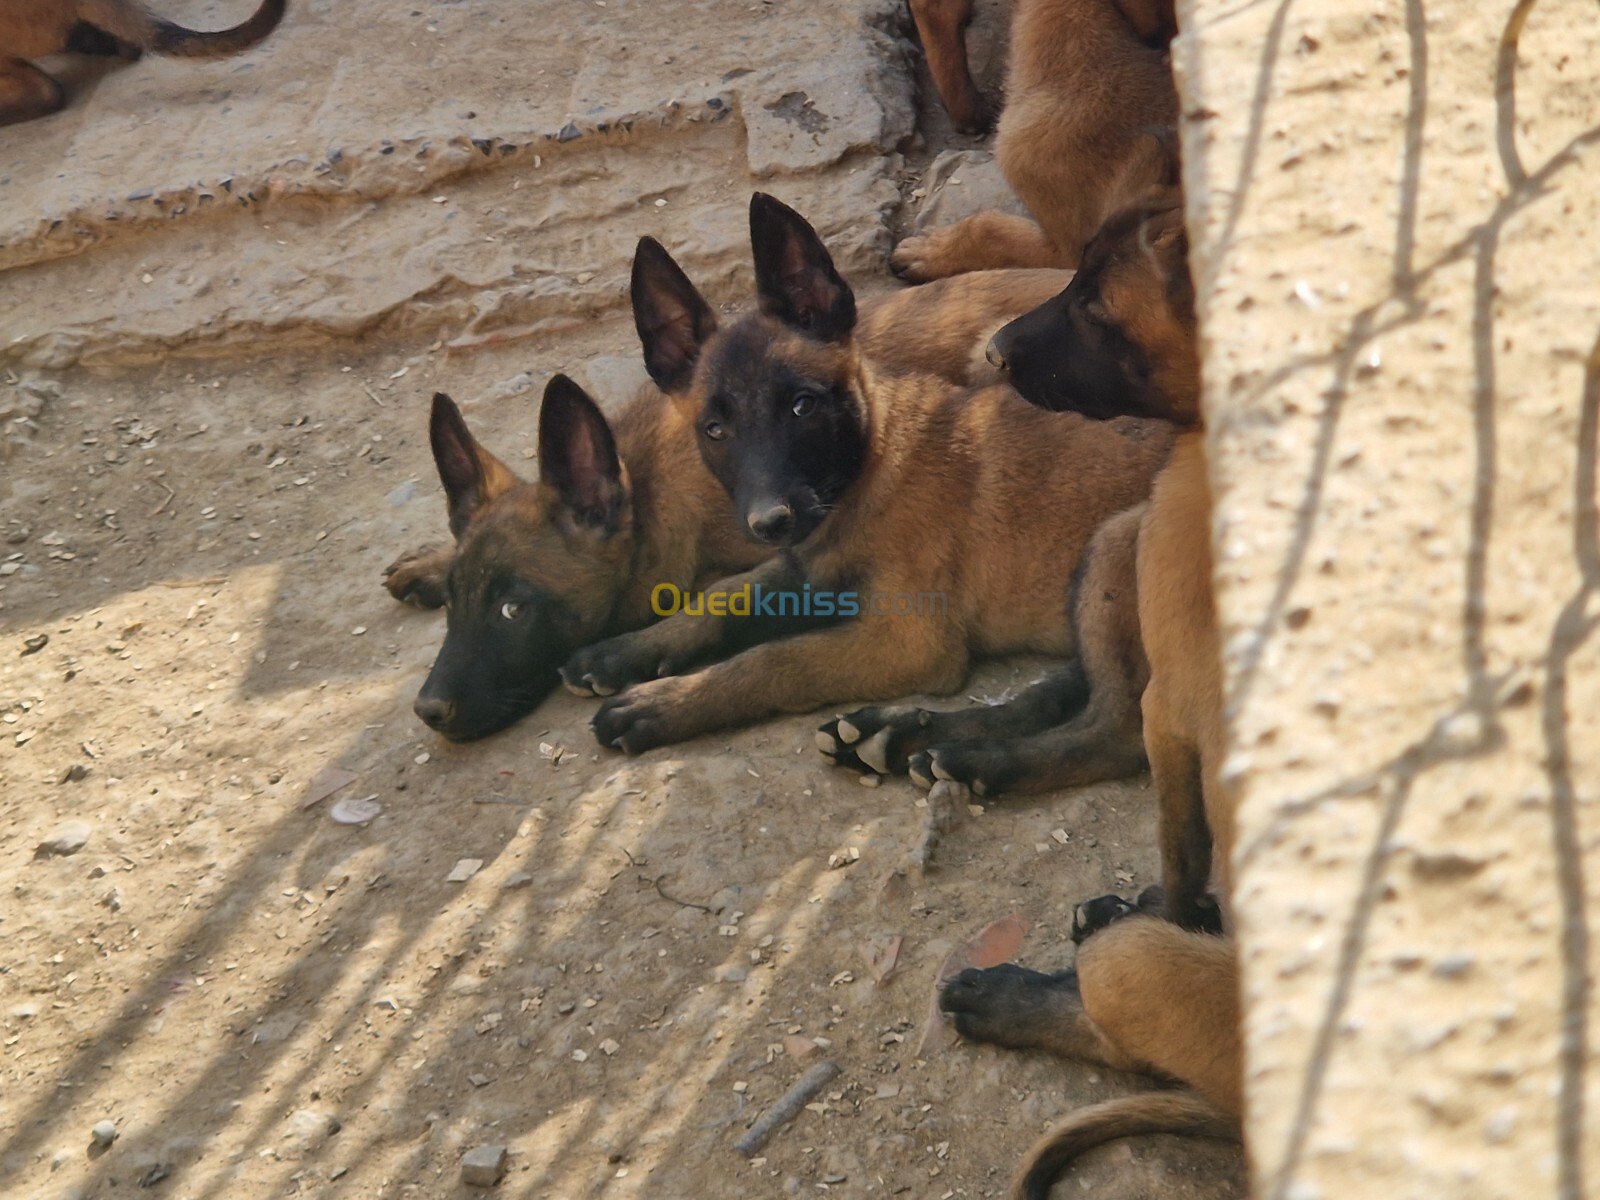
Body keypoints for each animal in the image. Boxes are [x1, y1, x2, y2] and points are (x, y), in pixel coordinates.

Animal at [385, 267, 1068, 748]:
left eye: (513, 610)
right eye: (455, 605)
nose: (428, 710)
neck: (657, 481)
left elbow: (761, 636)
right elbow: (723, 601)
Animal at [566, 197, 1177, 755]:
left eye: (802, 406)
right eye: (715, 429)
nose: (769, 522)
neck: (877, 467)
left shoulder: (904, 641)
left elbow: (776, 659)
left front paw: (668, 701)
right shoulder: (803, 568)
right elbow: (724, 595)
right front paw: (628, 651)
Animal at [934, 192, 1241, 1196]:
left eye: (1098, 308)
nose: (991, 352)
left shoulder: (1169, 713)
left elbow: (1181, 855)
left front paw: (1167, 898)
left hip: (1132, 971)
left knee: (1124, 1035)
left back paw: (1008, 997)